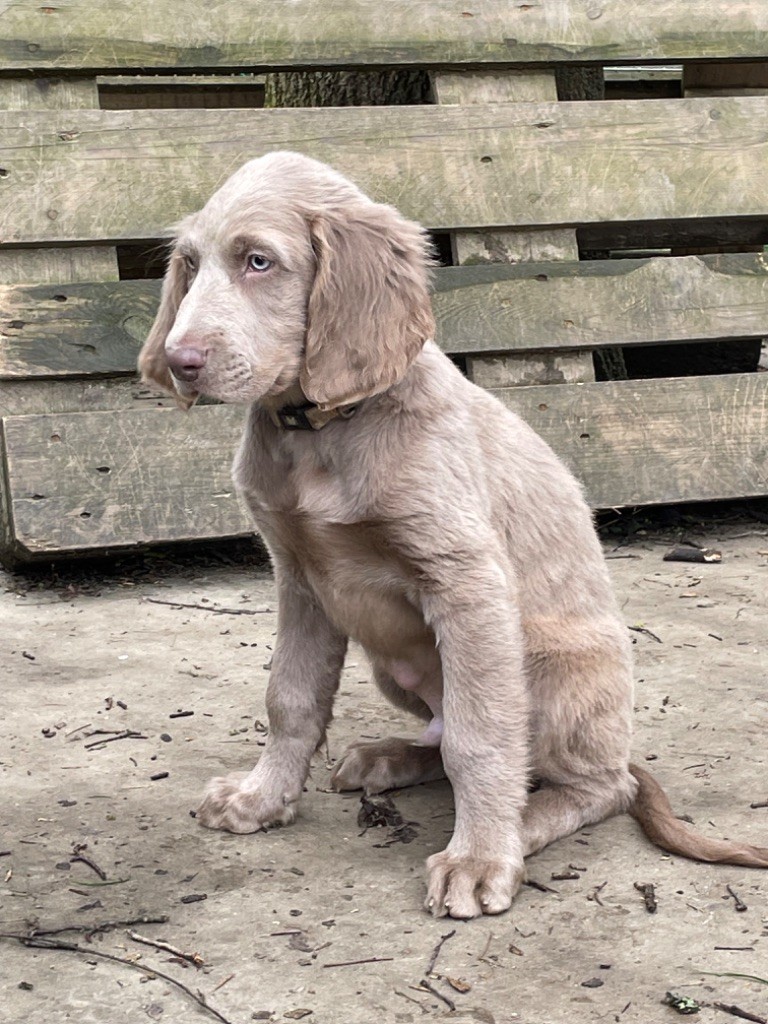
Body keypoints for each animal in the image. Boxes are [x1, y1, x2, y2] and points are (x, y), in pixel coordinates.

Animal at [140, 149, 768, 921]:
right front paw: (262, 798)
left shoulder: (467, 583)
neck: (321, 434)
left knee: (596, 784)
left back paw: (521, 826)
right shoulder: (298, 577)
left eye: (259, 261)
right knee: (441, 739)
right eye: (190, 265)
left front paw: (480, 858)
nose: (179, 361)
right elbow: (290, 697)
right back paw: (389, 758)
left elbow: (481, 738)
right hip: (394, 666)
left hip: (548, 666)